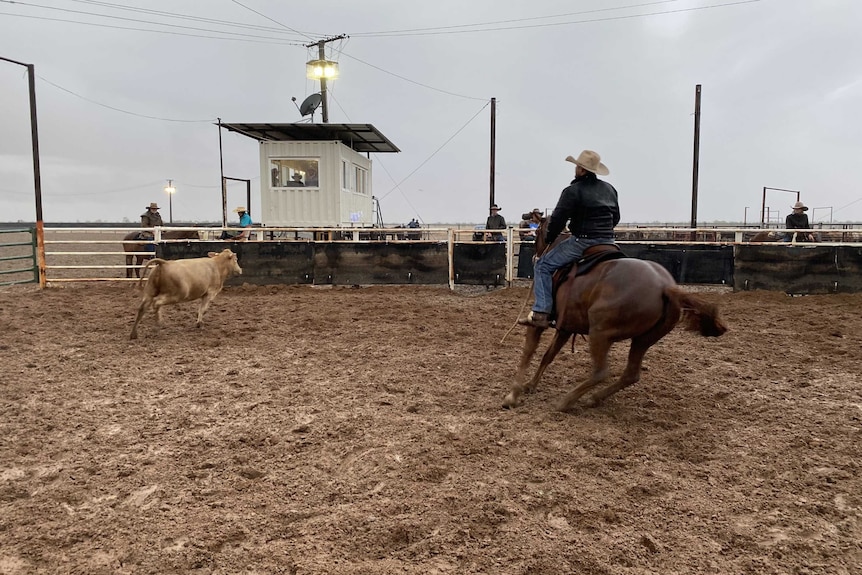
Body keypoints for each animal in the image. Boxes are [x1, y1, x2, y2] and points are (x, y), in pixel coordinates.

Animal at [506, 218, 728, 412]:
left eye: (536, 234)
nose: (535, 258)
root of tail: (665, 287)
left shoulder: (538, 322)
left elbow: (528, 352)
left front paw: (513, 395)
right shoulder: (566, 327)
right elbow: (548, 355)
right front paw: (531, 385)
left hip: (600, 333)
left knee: (601, 372)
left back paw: (566, 401)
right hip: (643, 339)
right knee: (630, 374)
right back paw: (593, 398)